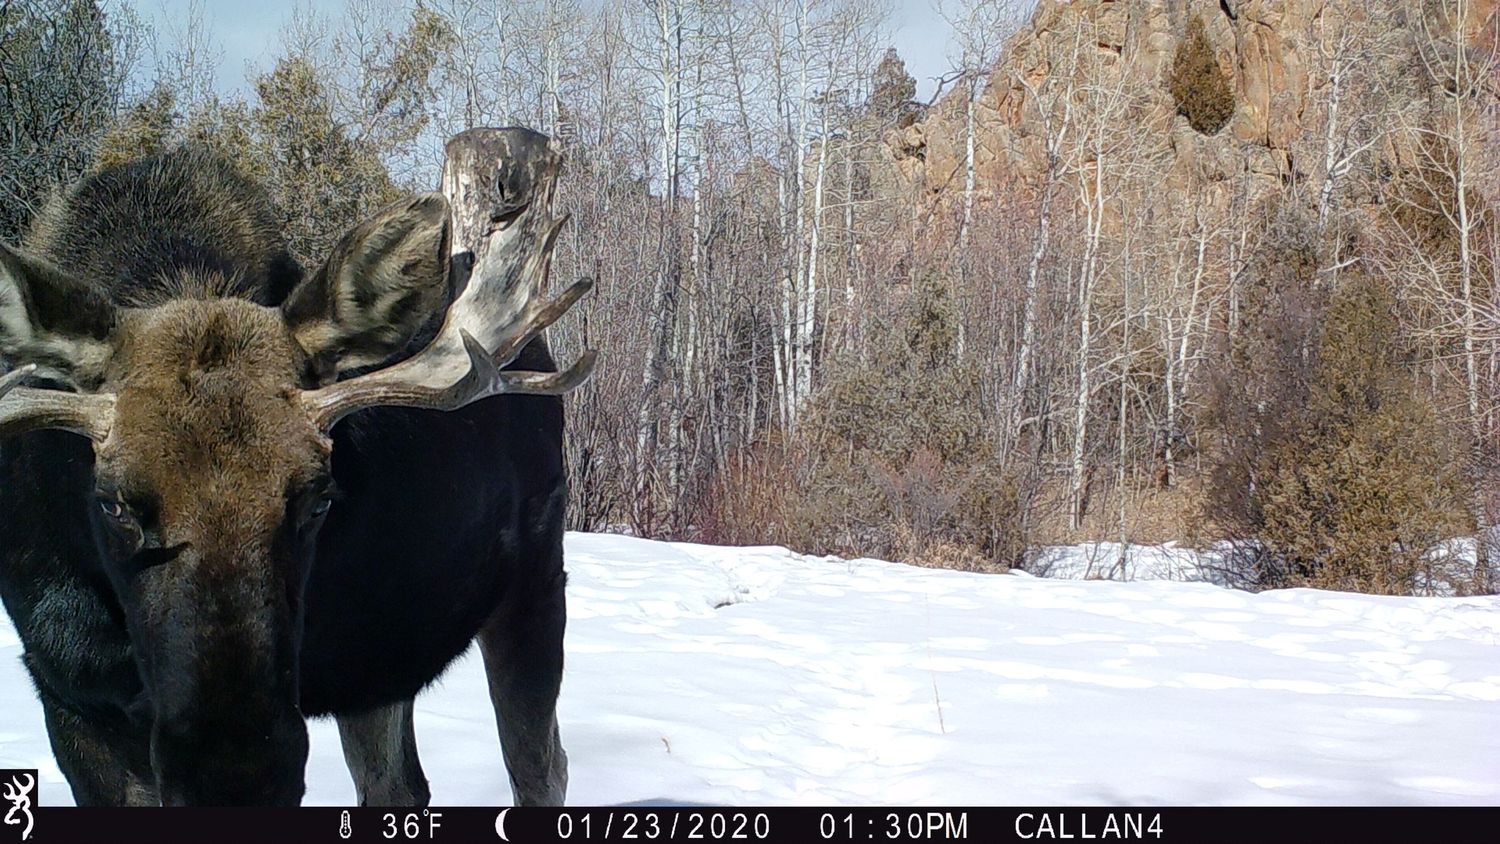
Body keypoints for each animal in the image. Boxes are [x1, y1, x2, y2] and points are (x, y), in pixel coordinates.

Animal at [0, 128, 594, 806]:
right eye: (112, 502)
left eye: (319, 497)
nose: (236, 772)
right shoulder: (66, 689)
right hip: (381, 655)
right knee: (400, 785)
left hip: (534, 583)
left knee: (541, 766)